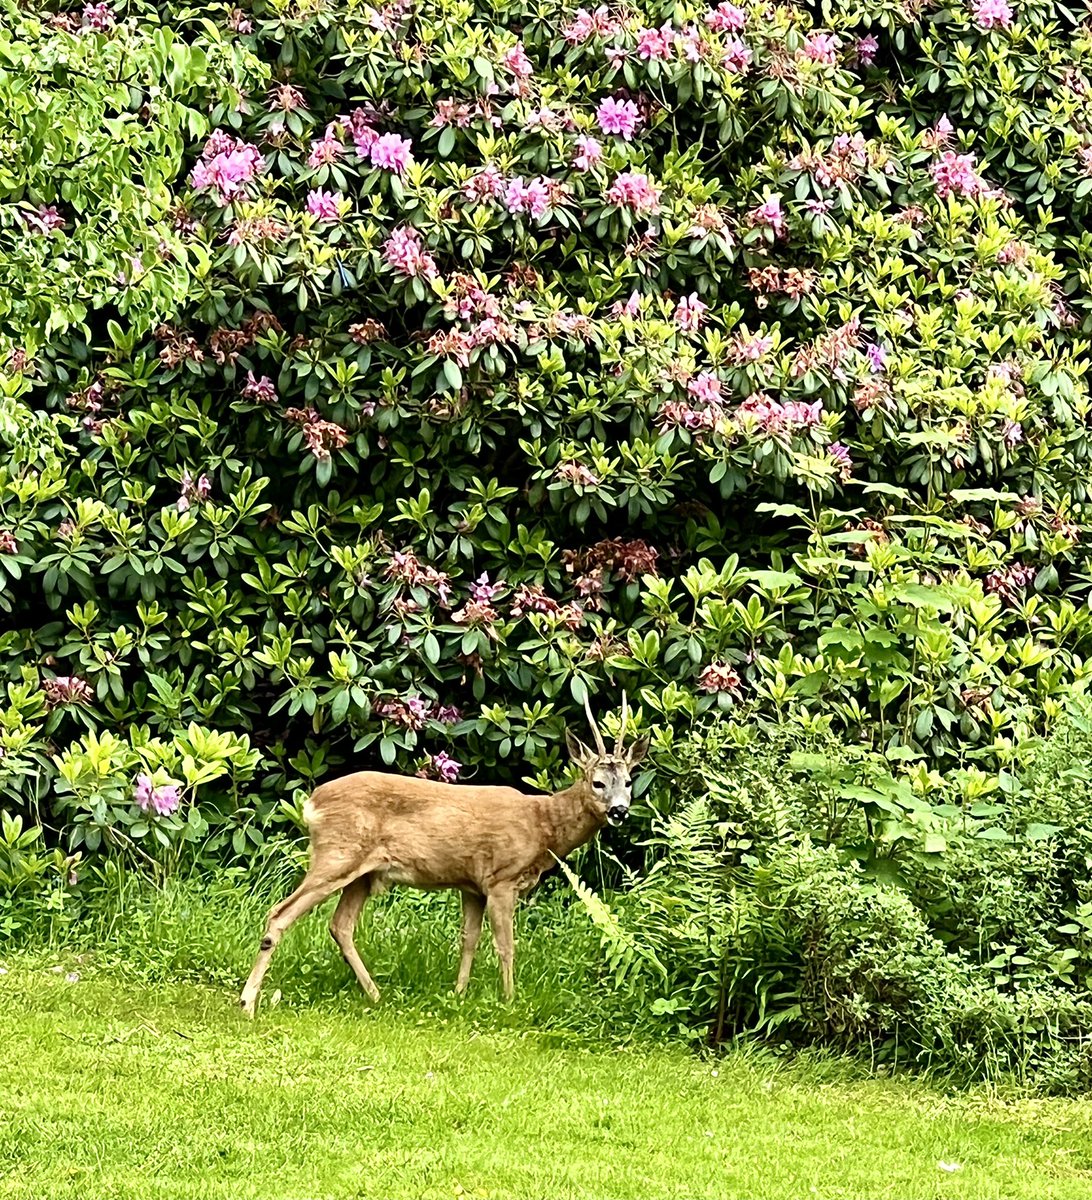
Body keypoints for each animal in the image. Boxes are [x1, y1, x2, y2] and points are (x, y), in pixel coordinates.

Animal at [240, 692, 648, 1016]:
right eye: (597, 783)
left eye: (629, 781)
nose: (620, 811)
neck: (541, 825)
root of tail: (312, 803)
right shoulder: (501, 880)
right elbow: (506, 944)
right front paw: (510, 1000)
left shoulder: (472, 886)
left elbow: (469, 940)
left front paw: (459, 993)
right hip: (336, 854)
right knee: (280, 913)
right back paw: (248, 1002)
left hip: (362, 872)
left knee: (340, 926)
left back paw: (375, 994)